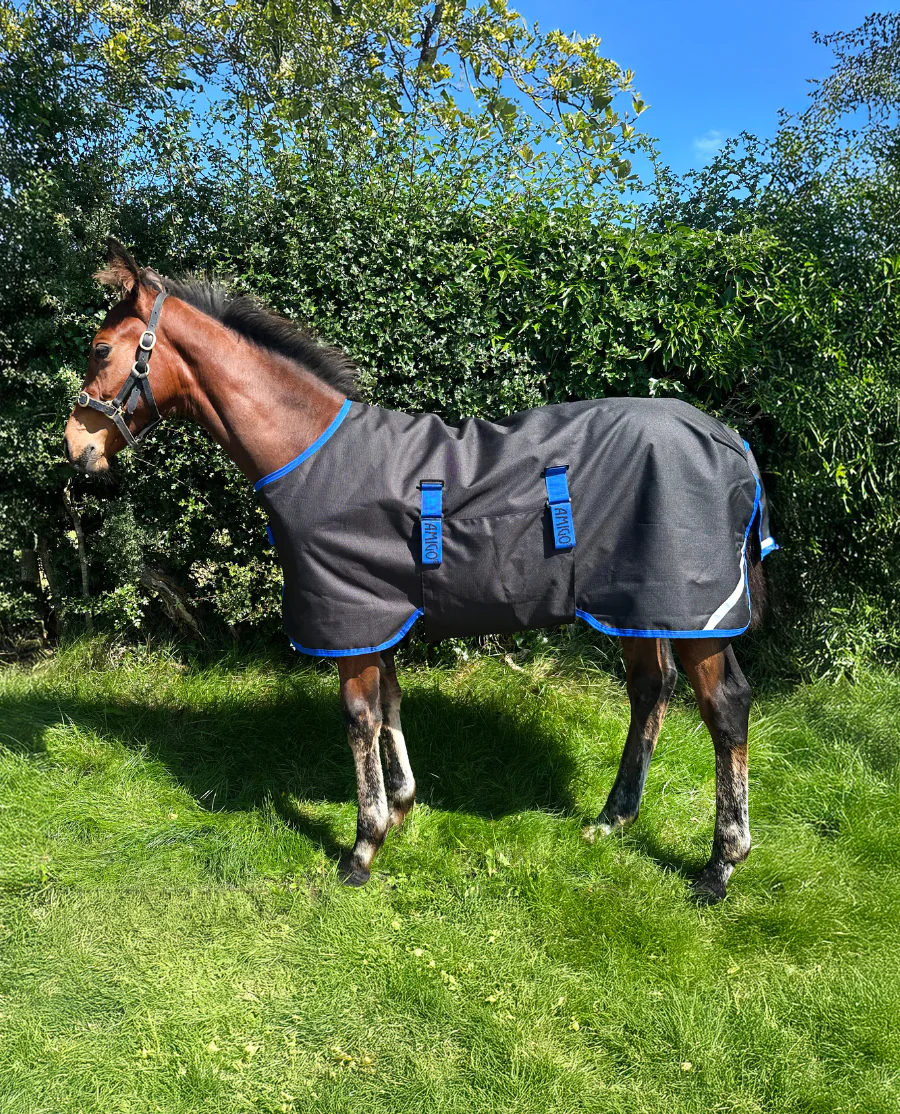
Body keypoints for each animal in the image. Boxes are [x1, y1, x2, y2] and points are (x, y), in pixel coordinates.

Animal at [63, 238, 776, 902]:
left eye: (99, 350)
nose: (77, 447)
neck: (311, 450)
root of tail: (729, 439)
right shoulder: (376, 612)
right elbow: (390, 701)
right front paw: (403, 807)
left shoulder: (349, 616)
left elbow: (359, 717)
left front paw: (363, 846)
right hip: (638, 605)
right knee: (651, 689)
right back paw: (613, 819)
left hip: (693, 612)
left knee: (724, 707)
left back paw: (720, 864)